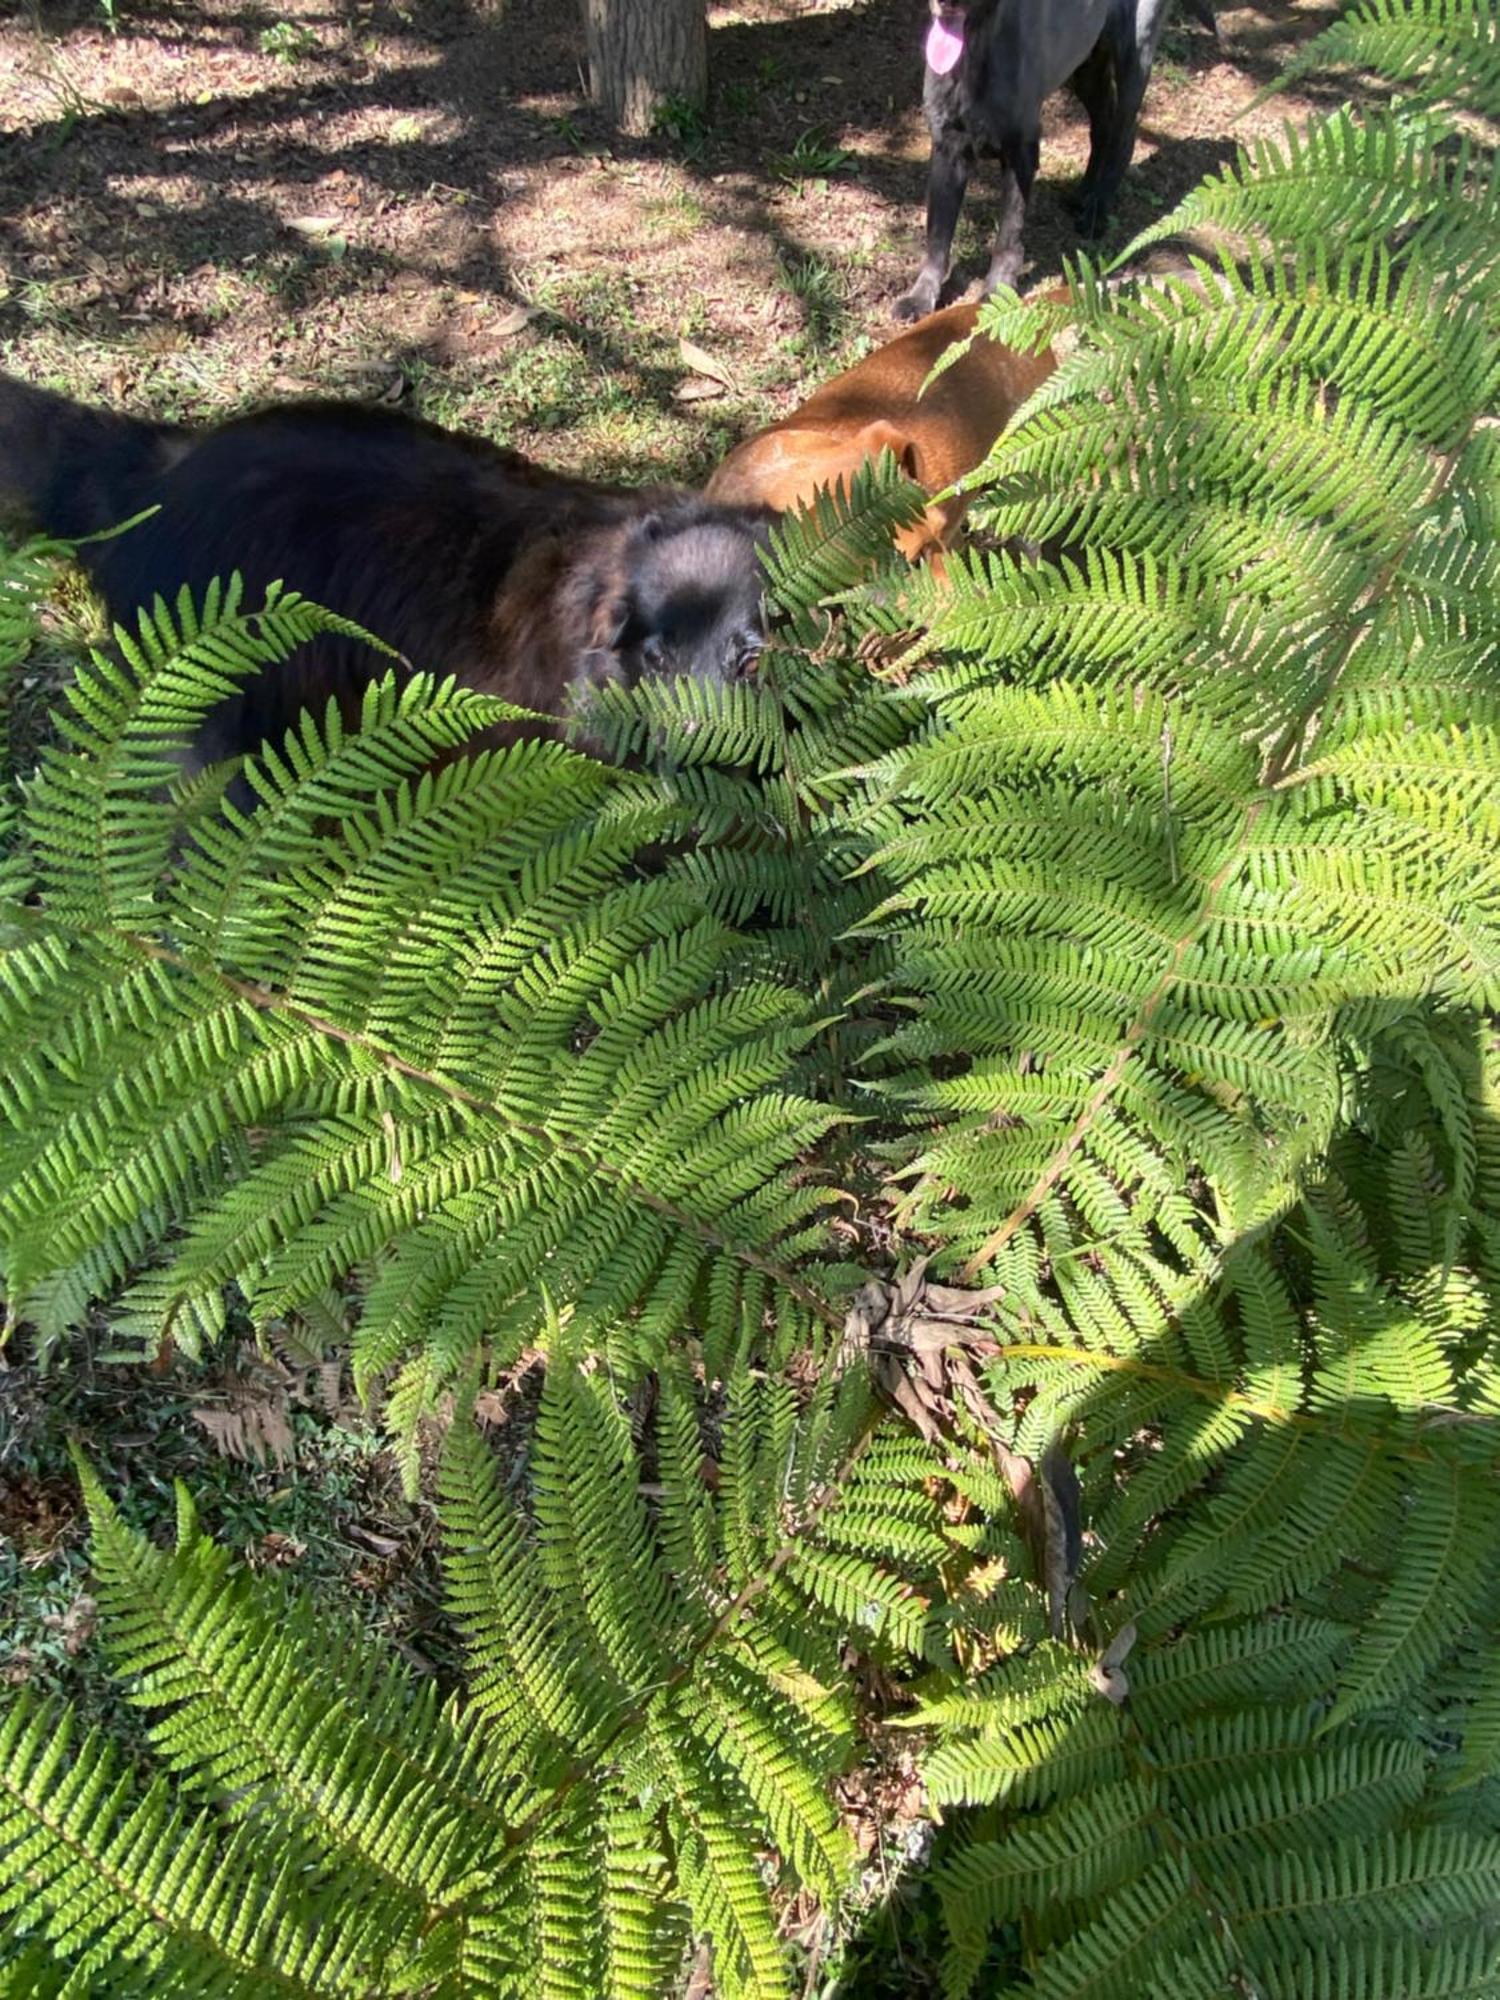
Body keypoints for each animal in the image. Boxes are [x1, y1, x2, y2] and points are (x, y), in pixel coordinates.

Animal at [900, 0, 1216, 320]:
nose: (947, 4)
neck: (976, 49)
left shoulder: (1021, 153)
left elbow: (1008, 235)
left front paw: (998, 292)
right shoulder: (947, 149)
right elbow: (938, 236)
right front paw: (921, 295)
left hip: (1134, 54)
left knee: (1123, 135)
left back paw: (1097, 210)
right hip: (1086, 64)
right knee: (1103, 125)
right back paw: (1086, 193)